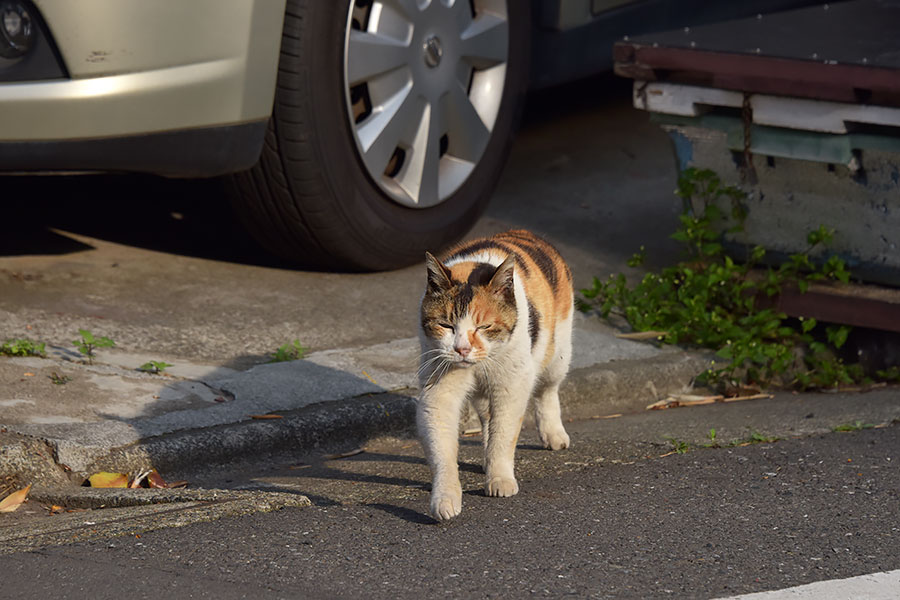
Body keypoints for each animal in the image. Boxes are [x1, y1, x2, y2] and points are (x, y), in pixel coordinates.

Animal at [418, 230, 572, 520]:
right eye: (446, 325)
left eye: (484, 326)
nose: (462, 349)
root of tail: (525, 232)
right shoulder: (438, 389)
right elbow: (442, 445)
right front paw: (444, 499)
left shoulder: (513, 384)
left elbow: (505, 433)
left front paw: (500, 480)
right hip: (483, 390)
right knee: (488, 415)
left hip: (557, 353)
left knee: (547, 390)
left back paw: (554, 435)